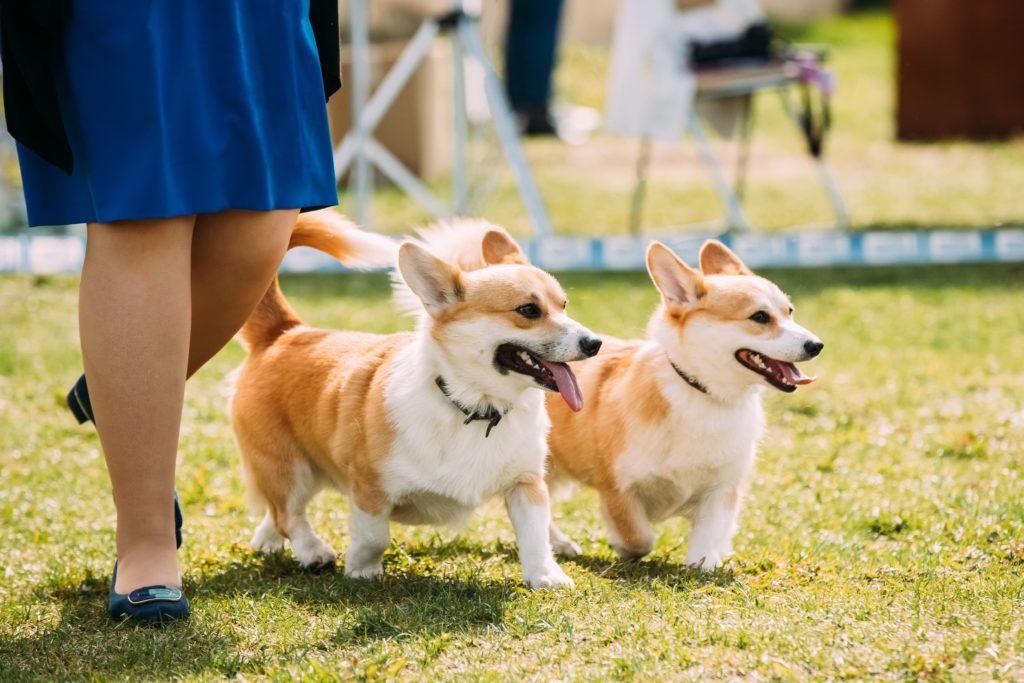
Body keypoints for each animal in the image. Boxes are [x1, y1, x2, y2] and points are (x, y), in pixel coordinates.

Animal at [231, 209, 598, 589]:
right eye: (528, 310)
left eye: (564, 305)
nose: (594, 343)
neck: (474, 406)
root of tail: (286, 332)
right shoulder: (369, 486)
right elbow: (374, 536)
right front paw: (361, 569)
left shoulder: (526, 483)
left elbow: (535, 535)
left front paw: (546, 576)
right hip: (289, 466)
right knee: (287, 512)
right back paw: (312, 550)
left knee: (276, 511)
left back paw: (268, 540)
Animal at [544, 241, 823, 573]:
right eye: (759, 317)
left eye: (789, 312)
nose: (816, 345)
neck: (704, 395)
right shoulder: (617, 487)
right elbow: (639, 538)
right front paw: (622, 546)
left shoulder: (723, 489)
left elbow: (709, 533)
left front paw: (705, 561)